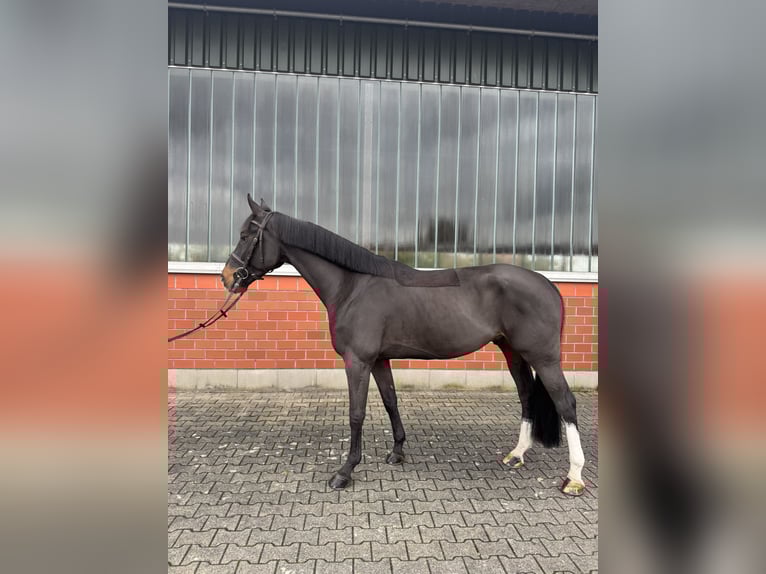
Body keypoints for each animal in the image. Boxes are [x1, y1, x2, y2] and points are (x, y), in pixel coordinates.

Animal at [221, 194, 586, 496]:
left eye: (245, 235)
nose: (227, 277)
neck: (352, 286)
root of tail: (548, 285)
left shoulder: (358, 361)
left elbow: (356, 414)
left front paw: (345, 471)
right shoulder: (379, 360)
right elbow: (390, 402)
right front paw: (397, 452)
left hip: (543, 357)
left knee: (566, 404)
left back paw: (574, 477)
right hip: (513, 352)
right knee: (526, 396)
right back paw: (516, 454)